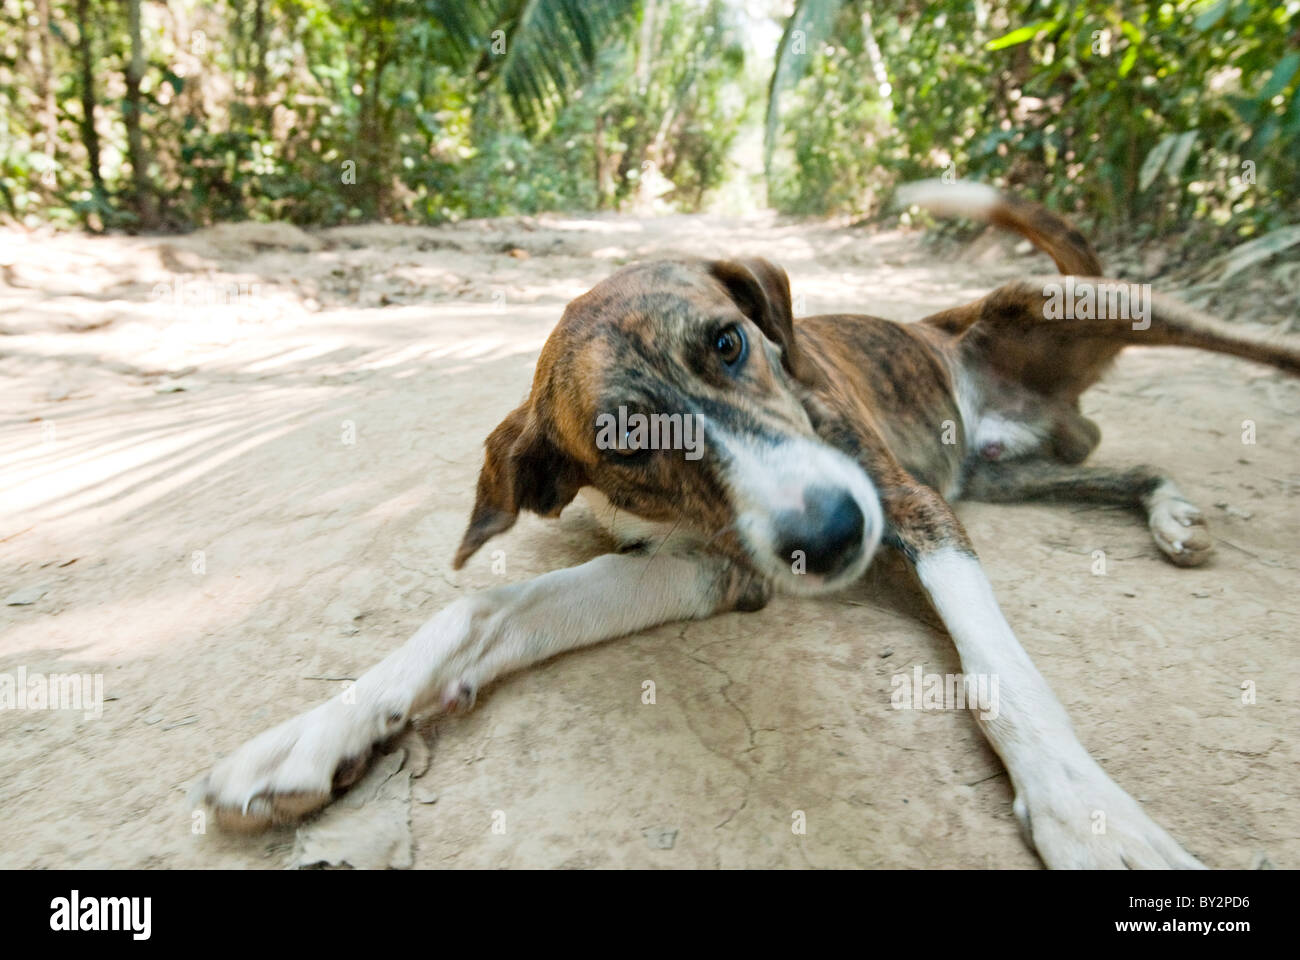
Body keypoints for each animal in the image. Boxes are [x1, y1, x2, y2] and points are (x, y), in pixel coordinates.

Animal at [195, 180, 1300, 868]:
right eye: (628, 450)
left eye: (728, 343)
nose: (835, 534)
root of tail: (949, 334)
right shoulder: (714, 566)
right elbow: (481, 611)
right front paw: (312, 736)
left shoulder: (912, 507)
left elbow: (1005, 679)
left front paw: (1092, 820)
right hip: (1009, 476)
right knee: (1122, 462)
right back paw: (1171, 512)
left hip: (1084, 313)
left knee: (1251, 348)